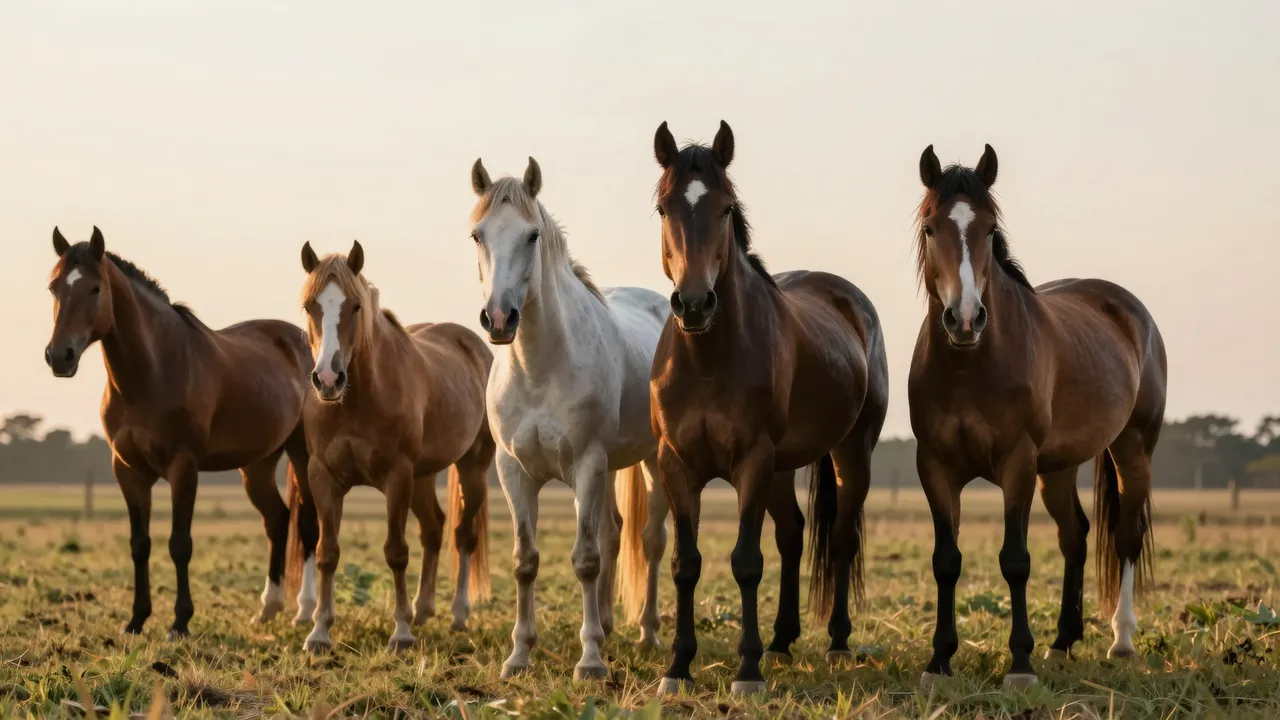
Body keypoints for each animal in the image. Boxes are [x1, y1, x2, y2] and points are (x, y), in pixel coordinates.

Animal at [43, 226, 320, 638]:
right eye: (54, 287)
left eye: (95, 288)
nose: (60, 356)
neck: (153, 372)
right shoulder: (127, 470)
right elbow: (139, 544)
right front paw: (136, 620)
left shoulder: (182, 468)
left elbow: (179, 544)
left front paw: (180, 622)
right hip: (257, 464)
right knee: (277, 520)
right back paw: (268, 609)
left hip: (302, 454)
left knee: (309, 525)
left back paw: (305, 611)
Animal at [296, 241, 494, 653]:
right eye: (309, 306)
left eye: (356, 306)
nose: (328, 379)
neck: (357, 400)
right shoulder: (323, 476)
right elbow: (327, 552)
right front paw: (319, 631)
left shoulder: (397, 476)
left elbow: (396, 552)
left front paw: (401, 632)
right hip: (423, 476)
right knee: (433, 529)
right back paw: (424, 609)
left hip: (473, 468)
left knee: (462, 536)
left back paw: (458, 614)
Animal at [468, 157, 671, 680]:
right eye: (478, 234)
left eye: (532, 235)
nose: (499, 319)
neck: (540, 367)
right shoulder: (514, 471)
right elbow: (526, 560)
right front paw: (519, 655)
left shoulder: (587, 463)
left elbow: (584, 560)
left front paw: (591, 661)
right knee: (614, 532)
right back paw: (607, 624)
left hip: (652, 463)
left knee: (650, 540)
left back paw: (647, 633)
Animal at [648, 121, 890, 696]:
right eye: (664, 208)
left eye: (726, 209)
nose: (695, 304)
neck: (709, 359)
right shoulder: (676, 463)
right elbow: (686, 564)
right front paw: (678, 667)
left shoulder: (752, 461)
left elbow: (745, 562)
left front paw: (747, 670)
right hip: (782, 468)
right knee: (793, 534)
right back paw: (782, 640)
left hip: (852, 453)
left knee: (840, 539)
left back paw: (837, 642)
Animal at [909, 145, 1167, 688]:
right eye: (930, 228)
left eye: (989, 229)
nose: (965, 319)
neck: (970, 365)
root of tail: (1130, 310)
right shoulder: (935, 466)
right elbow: (946, 561)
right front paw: (939, 661)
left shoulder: (1017, 463)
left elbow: (1016, 560)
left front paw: (1020, 664)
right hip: (1059, 467)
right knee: (1076, 536)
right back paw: (1063, 641)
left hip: (1132, 449)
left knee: (1127, 536)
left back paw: (1121, 641)